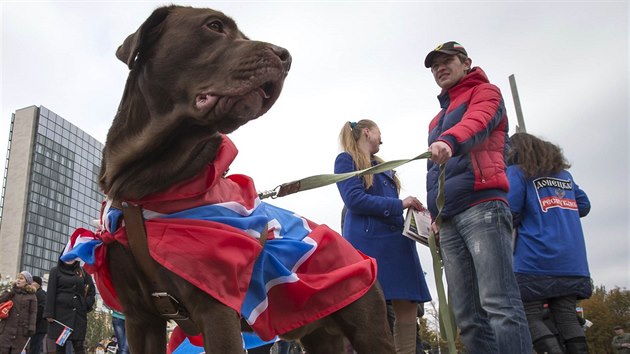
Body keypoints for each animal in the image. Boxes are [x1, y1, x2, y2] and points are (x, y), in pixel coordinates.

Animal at [99, 4, 396, 352]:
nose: (286, 56)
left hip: (368, 329)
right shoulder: (140, 317)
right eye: (214, 26)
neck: (146, 187)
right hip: (322, 336)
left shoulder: (216, 308)